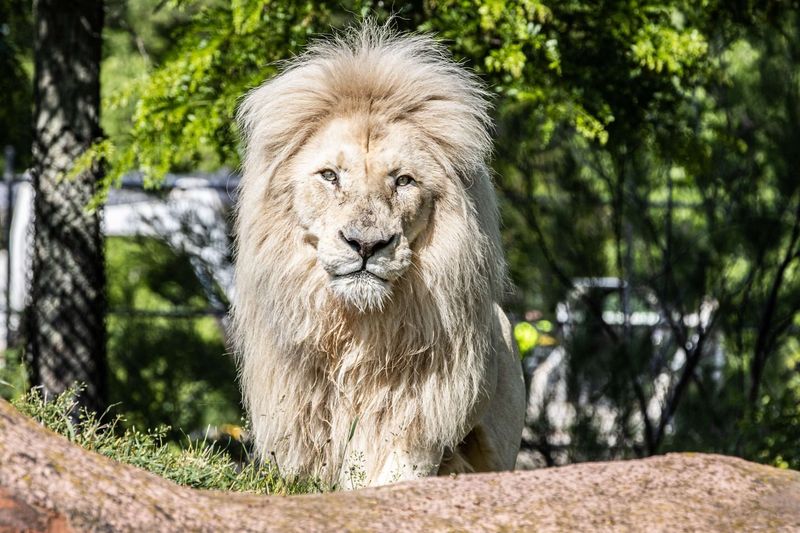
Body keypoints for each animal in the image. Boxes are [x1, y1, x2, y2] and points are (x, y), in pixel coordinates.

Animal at [233, 22, 524, 488]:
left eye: (403, 180)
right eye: (330, 176)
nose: (367, 245)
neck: (358, 328)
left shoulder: (418, 417)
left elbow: (391, 475)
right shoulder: (299, 421)